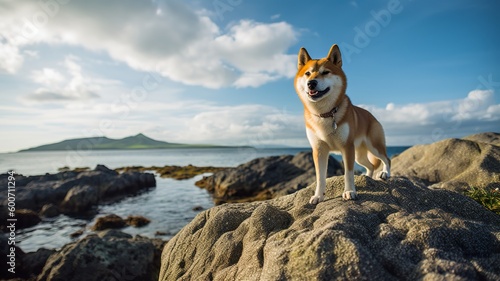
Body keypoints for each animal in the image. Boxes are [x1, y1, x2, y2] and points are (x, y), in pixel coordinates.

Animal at [294, 43, 388, 202]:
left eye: (325, 72)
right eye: (307, 73)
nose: (311, 83)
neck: (325, 114)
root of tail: (372, 116)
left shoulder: (347, 147)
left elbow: (348, 174)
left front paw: (350, 191)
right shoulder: (319, 149)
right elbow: (320, 177)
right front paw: (318, 196)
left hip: (374, 146)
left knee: (386, 159)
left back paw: (386, 173)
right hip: (359, 155)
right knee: (370, 166)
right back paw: (368, 178)